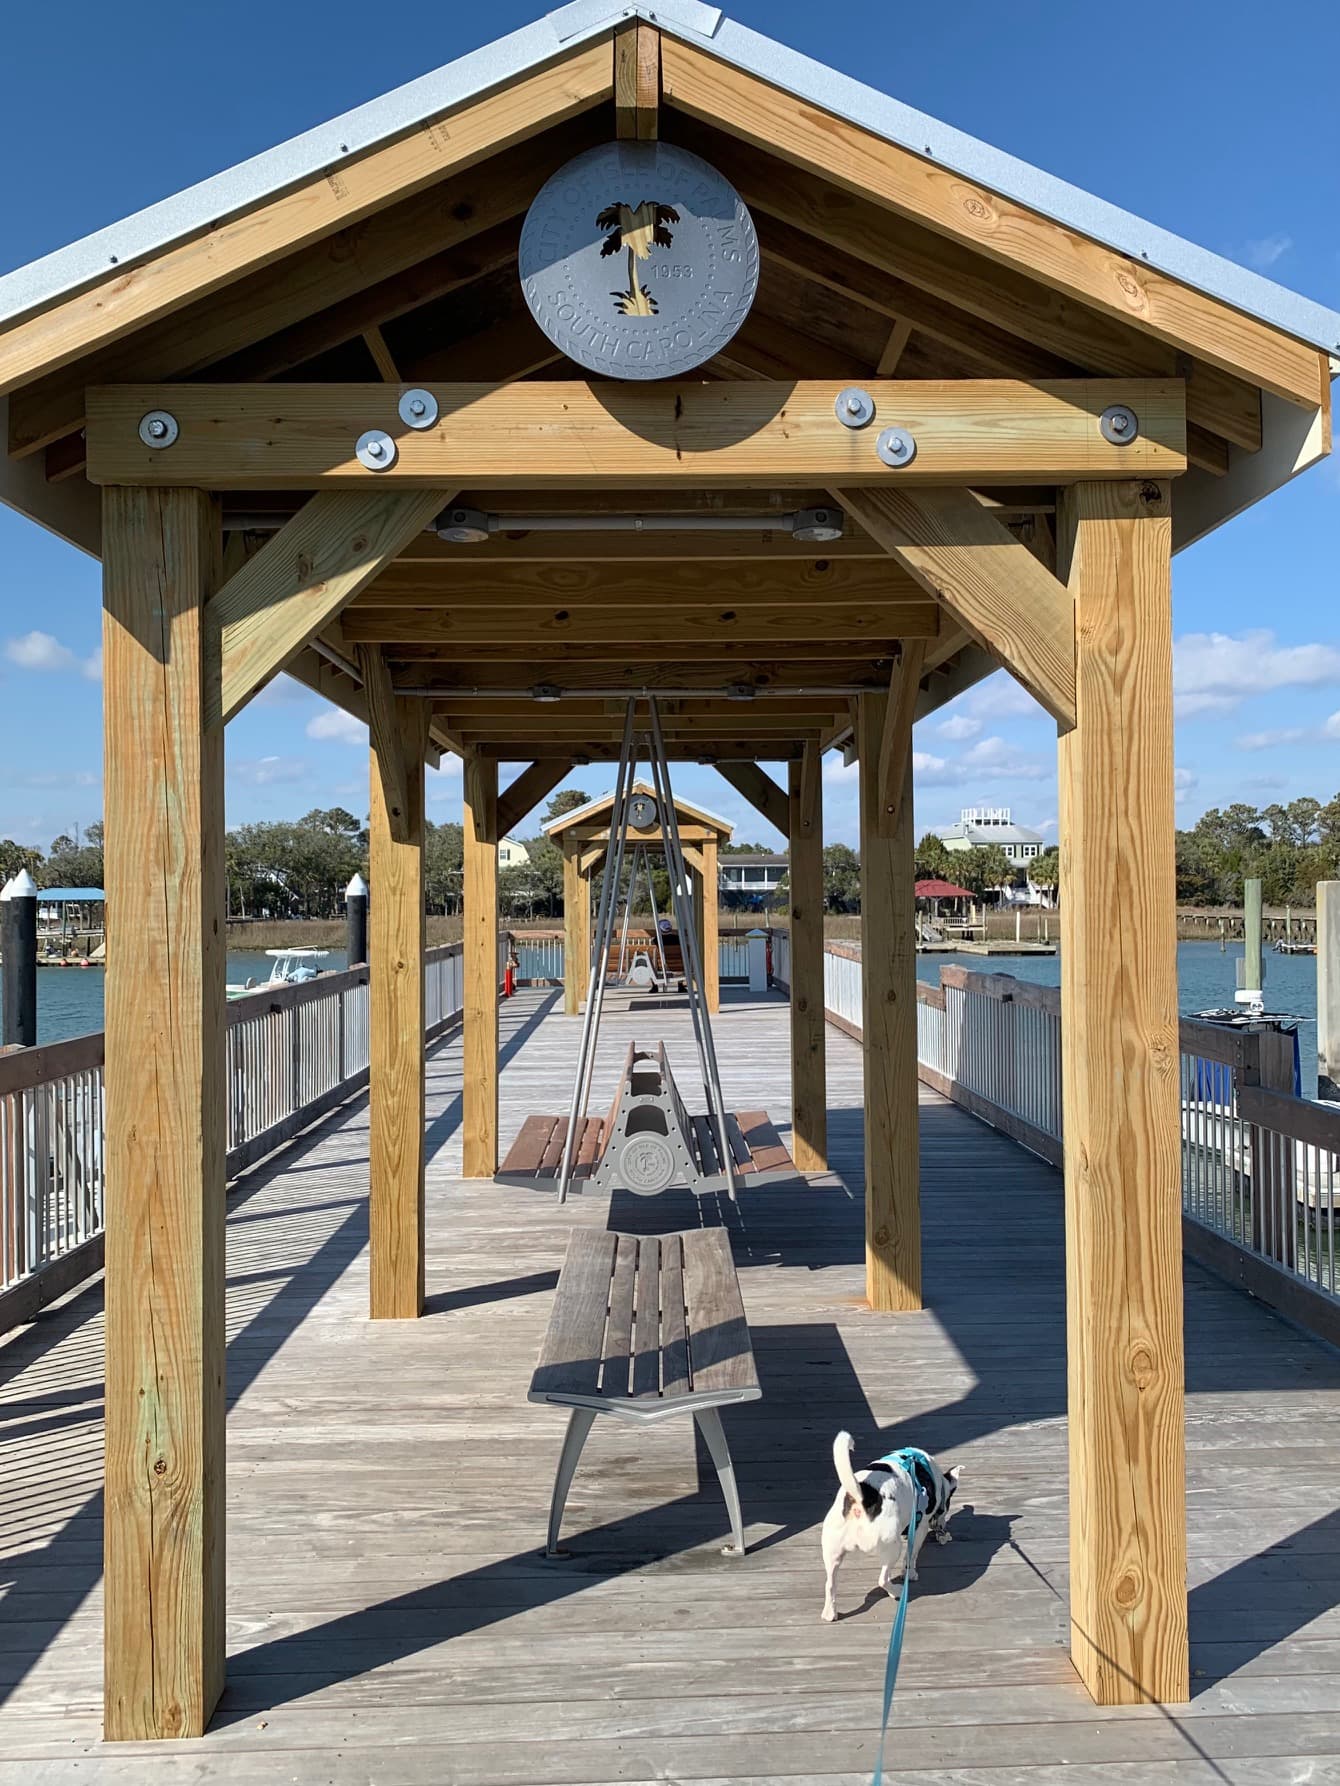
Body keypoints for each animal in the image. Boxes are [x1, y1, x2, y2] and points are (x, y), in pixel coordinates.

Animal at [818, 1428, 964, 1628]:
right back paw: (897, 1591)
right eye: (948, 1504)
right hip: (892, 1547)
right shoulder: (919, 1528)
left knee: (830, 1584)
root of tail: (862, 1497)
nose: (942, 1527)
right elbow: (911, 1557)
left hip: (832, 1551)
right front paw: (910, 1573)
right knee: (882, 1580)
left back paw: (830, 1613)